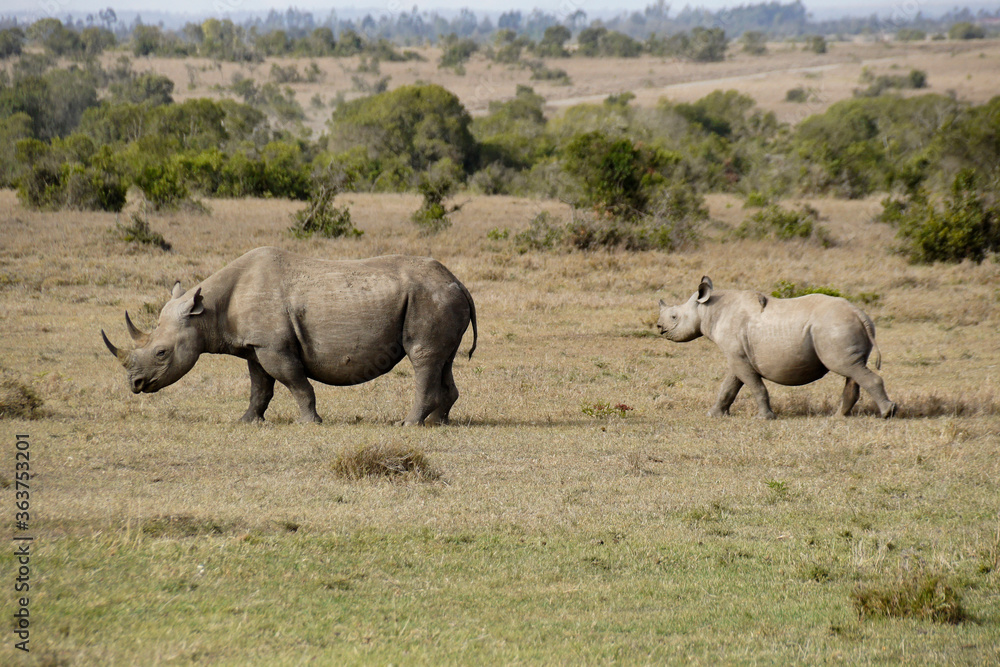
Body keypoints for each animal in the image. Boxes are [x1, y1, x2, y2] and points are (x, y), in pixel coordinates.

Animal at [102, 247, 478, 425]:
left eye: (161, 353)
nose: (135, 384)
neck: (207, 311)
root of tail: (459, 282)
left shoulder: (274, 346)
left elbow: (296, 384)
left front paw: (311, 422)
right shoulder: (255, 346)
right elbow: (260, 388)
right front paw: (247, 421)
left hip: (429, 297)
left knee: (422, 358)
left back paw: (408, 424)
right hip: (439, 298)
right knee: (442, 360)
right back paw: (439, 422)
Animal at [656, 276, 896, 419]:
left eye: (674, 317)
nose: (659, 327)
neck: (707, 309)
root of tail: (860, 314)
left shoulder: (738, 356)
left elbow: (755, 386)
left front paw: (764, 418)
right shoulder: (738, 356)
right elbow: (729, 385)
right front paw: (714, 415)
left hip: (833, 327)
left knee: (848, 367)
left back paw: (887, 413)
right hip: (841, 328)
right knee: (853, 368)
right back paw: (838, 416)